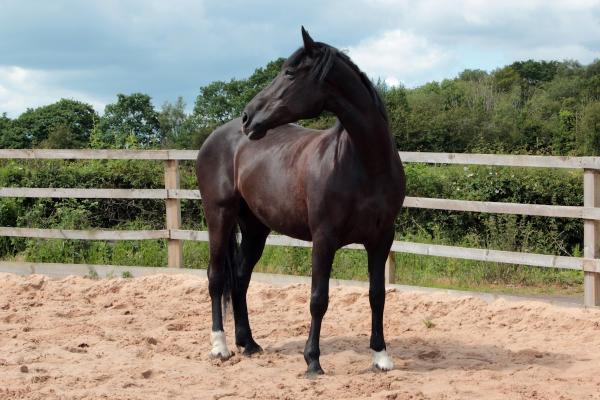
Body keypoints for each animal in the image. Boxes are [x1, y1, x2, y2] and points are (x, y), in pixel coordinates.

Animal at [195, 27, 406, 376]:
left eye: (290, 73)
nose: (248, 117)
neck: (365, 164)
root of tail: (217, 137)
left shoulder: (381, 238)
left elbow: (377, 295)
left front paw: (381, 356)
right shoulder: (324, 238)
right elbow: (318, 298)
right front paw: (312, 360)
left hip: (255, 228)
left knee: (240, 279)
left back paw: (248, 343)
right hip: (219, 215)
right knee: (217, 277)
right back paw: (220, 347)